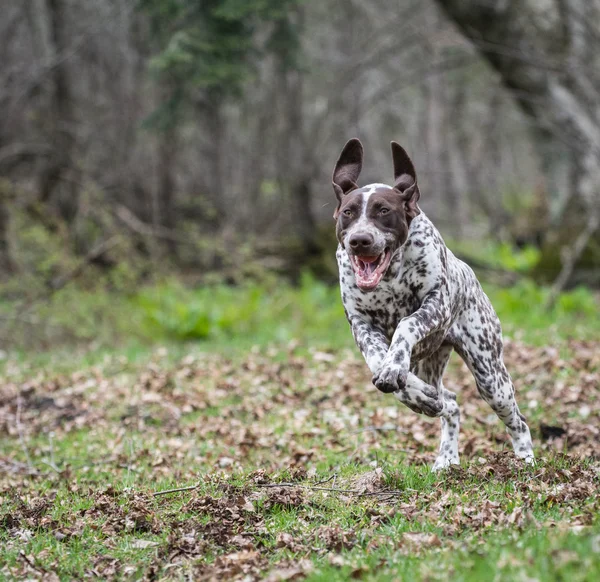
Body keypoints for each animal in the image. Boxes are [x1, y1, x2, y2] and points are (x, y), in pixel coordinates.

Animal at [332, 139, 536, 472]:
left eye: (384, 211)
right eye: (348, 212)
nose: (359, 241)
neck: (390, 274)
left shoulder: (435, 305)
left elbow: (406, 324)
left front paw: (395, 368)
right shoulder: (361, 323)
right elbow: (378, 360)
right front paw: (406, 384)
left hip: (491, 378)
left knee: (518, 420)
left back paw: (526, 459)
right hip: (430, 364)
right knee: (449, 402)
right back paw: (445, 454)